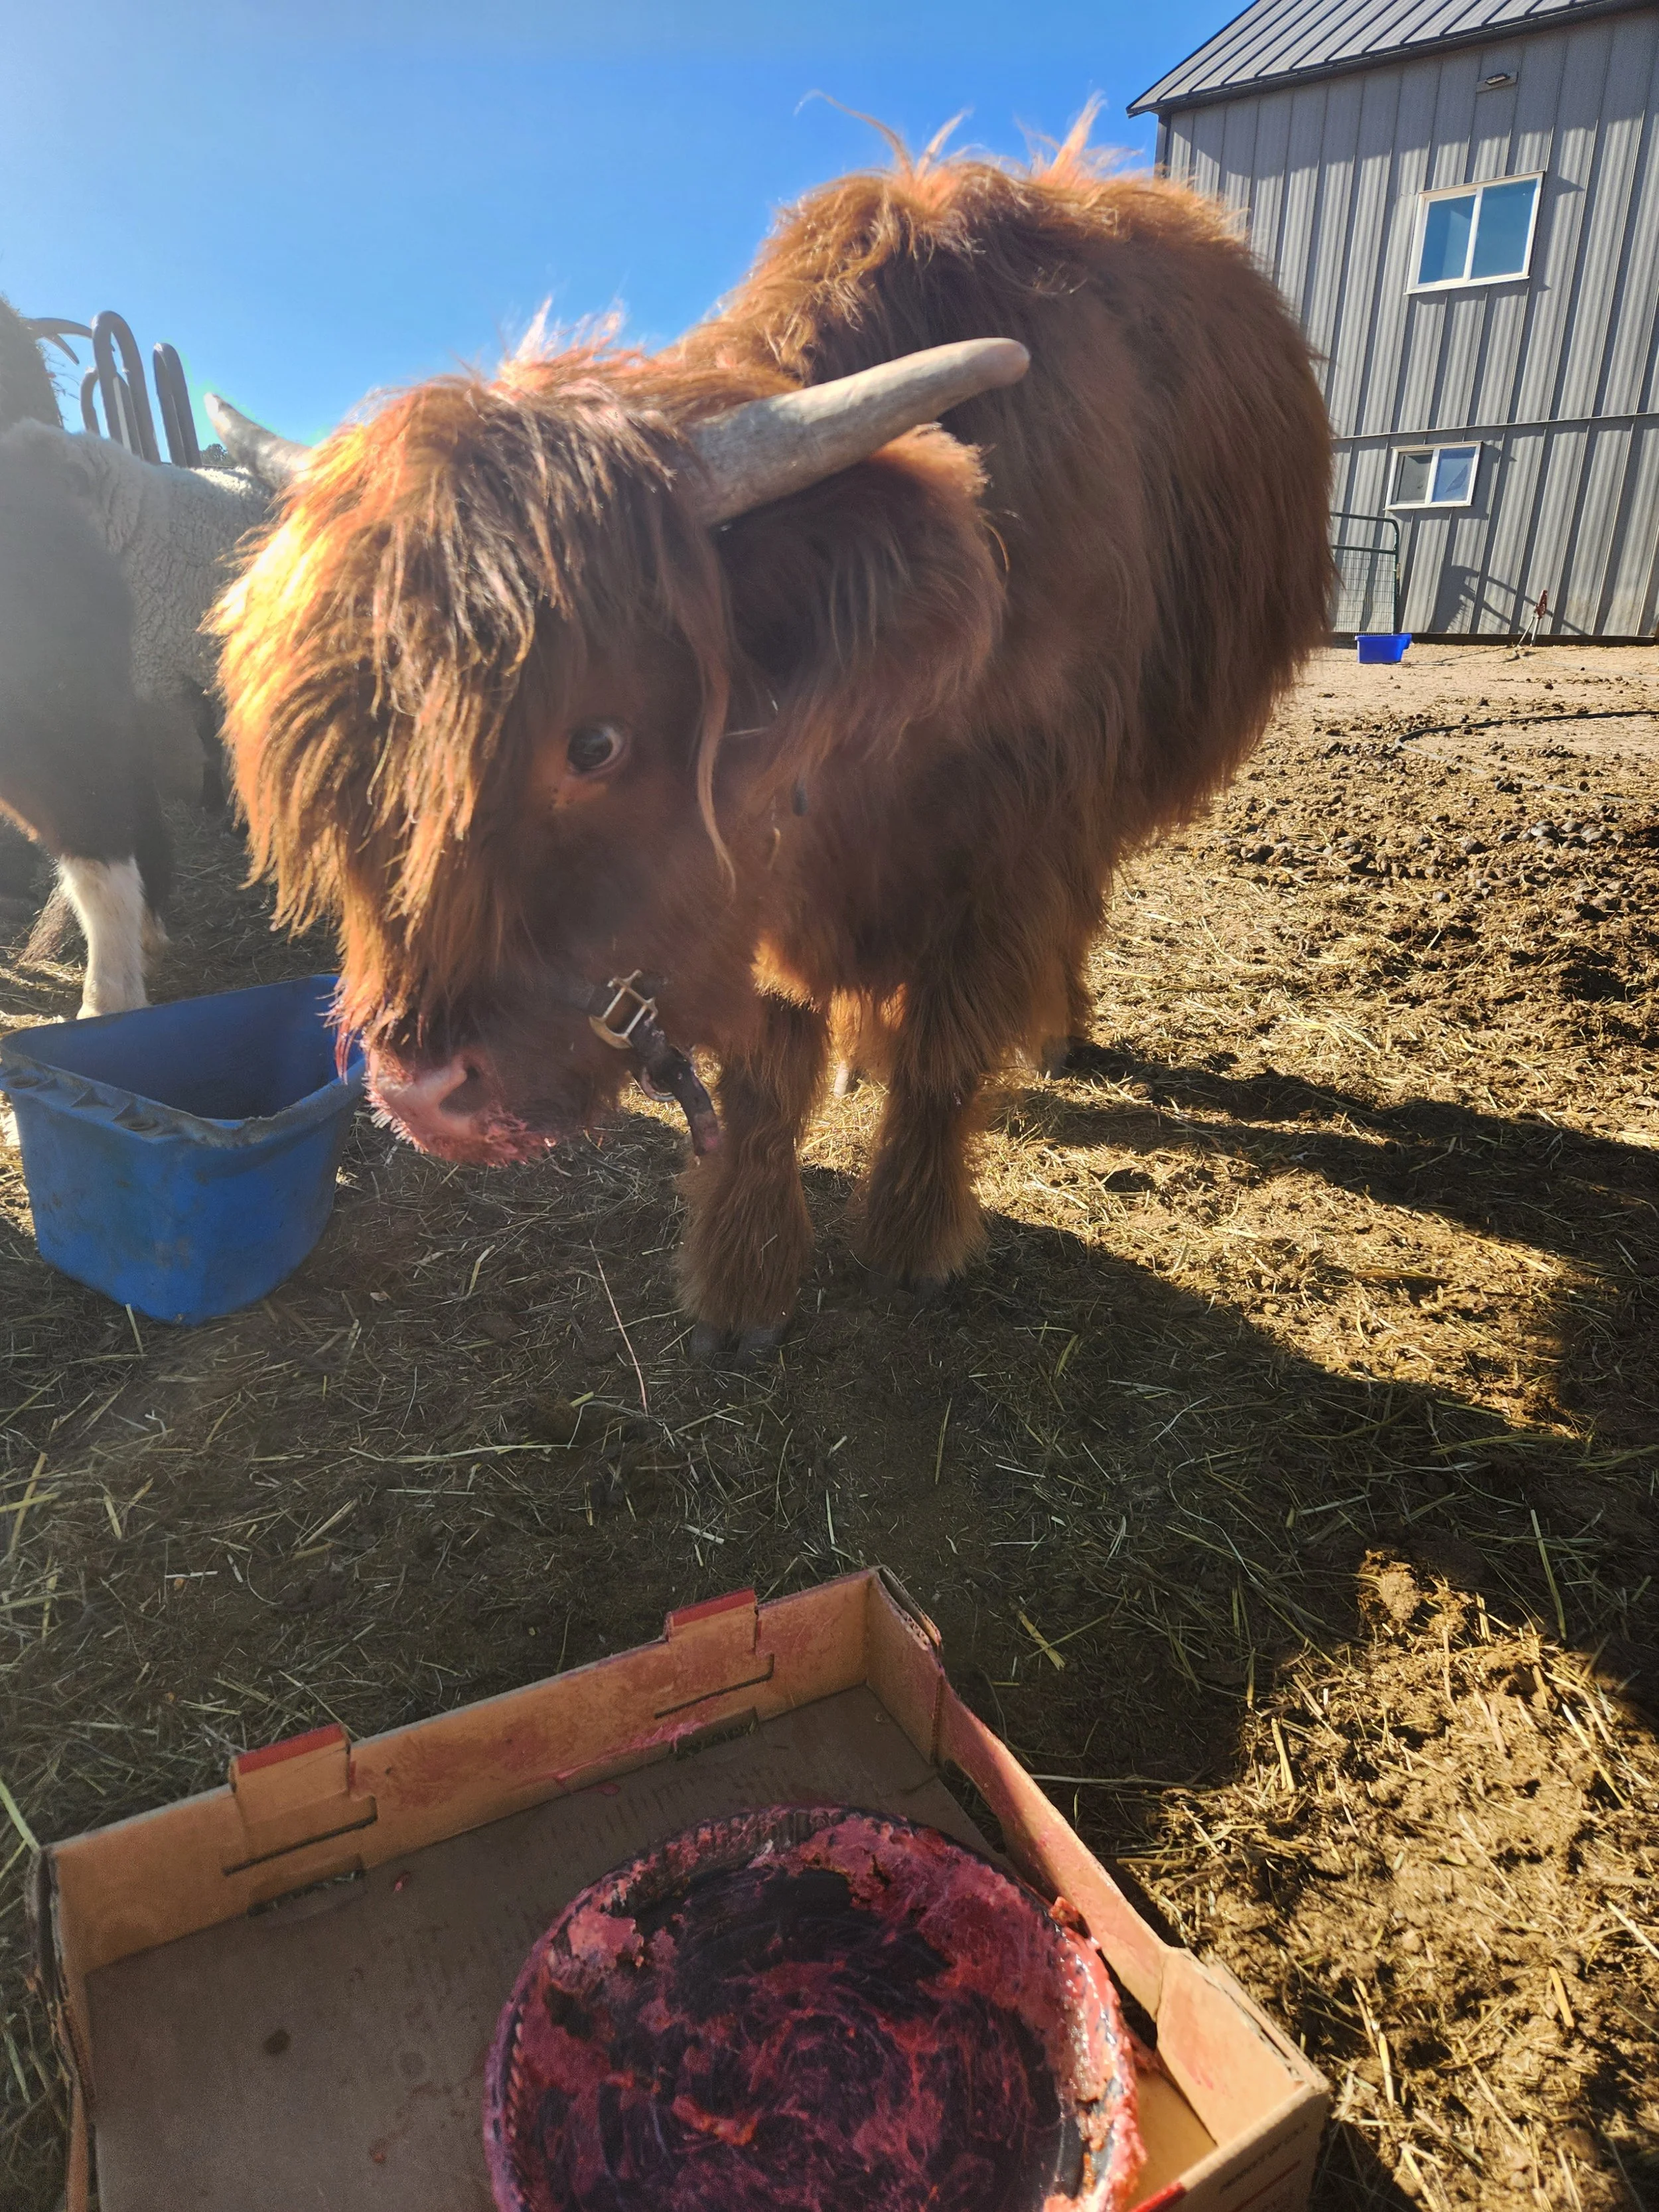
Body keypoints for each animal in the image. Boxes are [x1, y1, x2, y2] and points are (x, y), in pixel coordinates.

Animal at [210, 129, 1332, 1358]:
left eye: (593, 742)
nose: (420, 1093)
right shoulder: (766, 901)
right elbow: (762, 1085)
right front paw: (744, 1283)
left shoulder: (1015, 846)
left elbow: (948, 1050)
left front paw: (912, 1238)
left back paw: (1055, 1032)